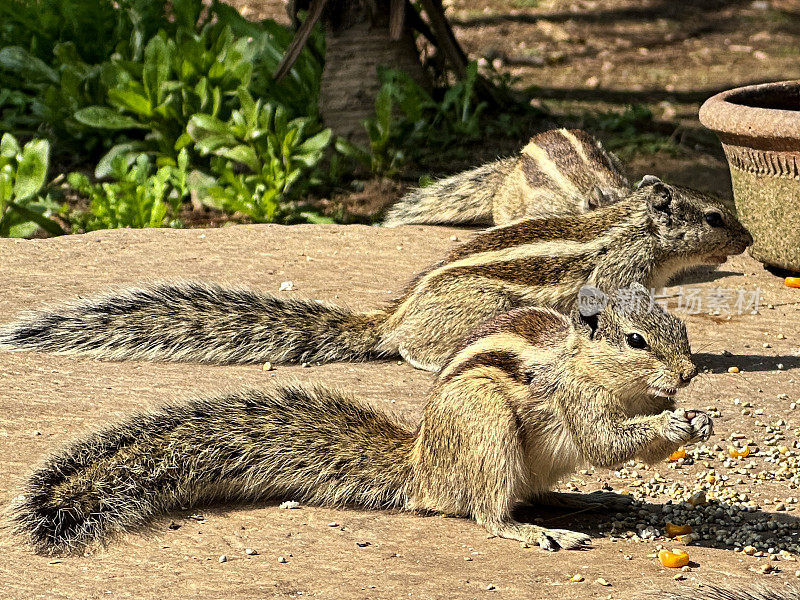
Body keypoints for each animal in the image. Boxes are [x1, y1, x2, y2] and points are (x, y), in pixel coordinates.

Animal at [0, 175, 752, 370]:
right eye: (717, 217)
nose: (746, 240)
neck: (638, 228)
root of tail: (393, 316)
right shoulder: (617, 272)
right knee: (417, 351)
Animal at [10, 284, 712, 556]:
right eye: (634, 341)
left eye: (677, 326)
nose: (688, 373)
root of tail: (423, 469)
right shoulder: (576, 402)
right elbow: (607, 440)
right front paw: (672, 427)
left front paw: (694, 420)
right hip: (486, 431)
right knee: (489, 512)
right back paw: (537, 532)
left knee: (530, 495)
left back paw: (585, 503)